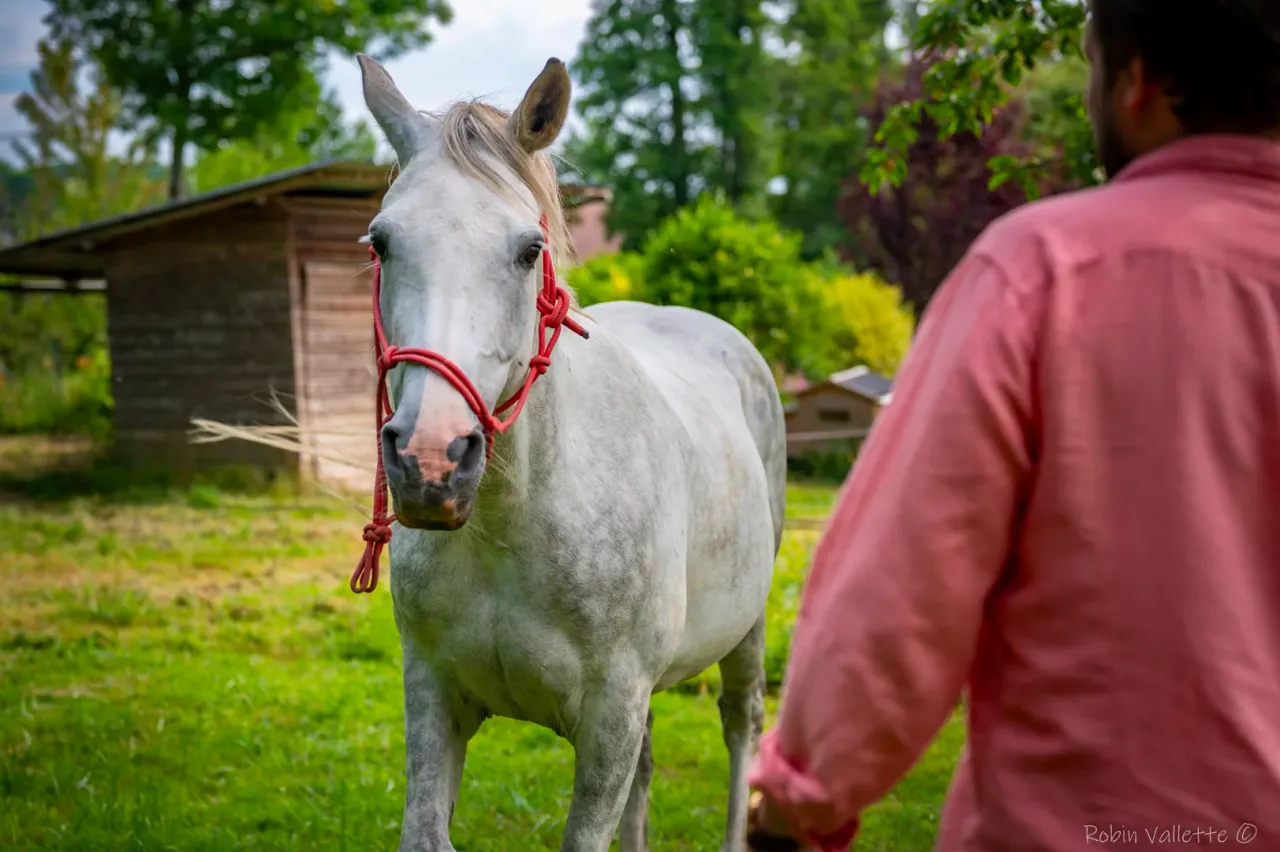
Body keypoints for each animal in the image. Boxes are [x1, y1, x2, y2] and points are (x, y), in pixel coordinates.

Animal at [358, 56, 778, 844]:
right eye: (381, 242)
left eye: (530, 250)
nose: (431, 461)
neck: (513, 522)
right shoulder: (432, 692)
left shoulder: (611, 717)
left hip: (747, 633)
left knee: (743, 724)